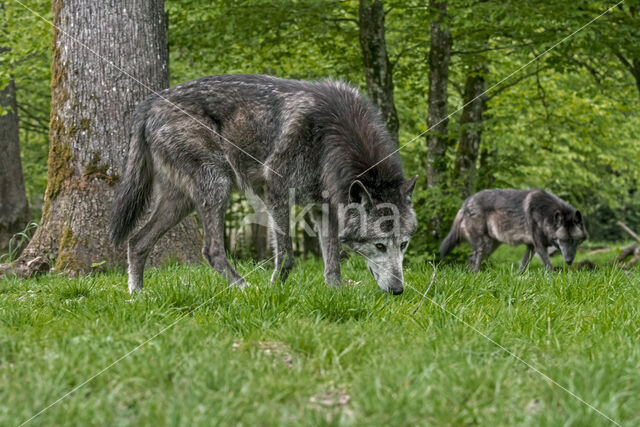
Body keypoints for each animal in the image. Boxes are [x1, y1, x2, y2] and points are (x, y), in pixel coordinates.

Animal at [109, 74, 420, 294]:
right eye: (379, 246)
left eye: (404, 244)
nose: (398, 291)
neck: (332, 134)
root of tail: (148, 104)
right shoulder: (276, 192)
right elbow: (286, 255)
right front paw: (275, 290)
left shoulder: (324, 208)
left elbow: (332, 262)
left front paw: (336, 294)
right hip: (217, 185)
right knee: (211, 250)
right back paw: (244, 288)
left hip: (180, 202)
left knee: (137, 241)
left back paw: (137, 295)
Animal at [442, 190, 588, 272]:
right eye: (562, 240)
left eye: (574, 241)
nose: (569, 261)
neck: (545, 215)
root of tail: (465, 203)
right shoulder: (540, 246)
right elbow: (549, 266)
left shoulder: (531, 246)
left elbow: (523, 265)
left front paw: (518, 277)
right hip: (484, 245)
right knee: (473, 257)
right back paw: (475, 275)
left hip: (491, 246)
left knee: (471, 257)